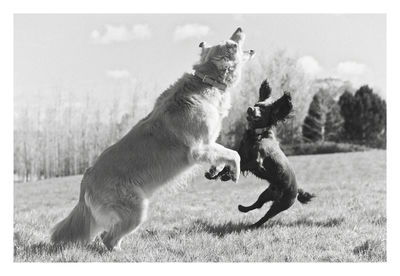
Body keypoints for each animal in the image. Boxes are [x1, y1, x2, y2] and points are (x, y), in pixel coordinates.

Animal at [50, 28, 253, 250]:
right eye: (232, 44)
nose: (240, 28)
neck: (206, 81)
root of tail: (86, 179)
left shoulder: (209, 145)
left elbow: (222, 154)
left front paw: (216, 170)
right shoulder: (199, 149)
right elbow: (234, 153)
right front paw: (235, 172)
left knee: (105, 235)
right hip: (137, 210)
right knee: (108, 238)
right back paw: (121, 253)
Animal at [206, 80, 316, 229]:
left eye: (263, 110)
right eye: (256, 104)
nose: (250, 109)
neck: (257, 134)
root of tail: (297, 190)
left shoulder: (256, 161)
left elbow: (240, 165)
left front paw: (227, 175)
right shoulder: (241, 154)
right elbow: (229, 165)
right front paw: (214, 175)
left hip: (282, 203)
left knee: (266, 216)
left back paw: (253, 225)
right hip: (267, 193)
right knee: (258, 204)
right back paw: (243, 208)